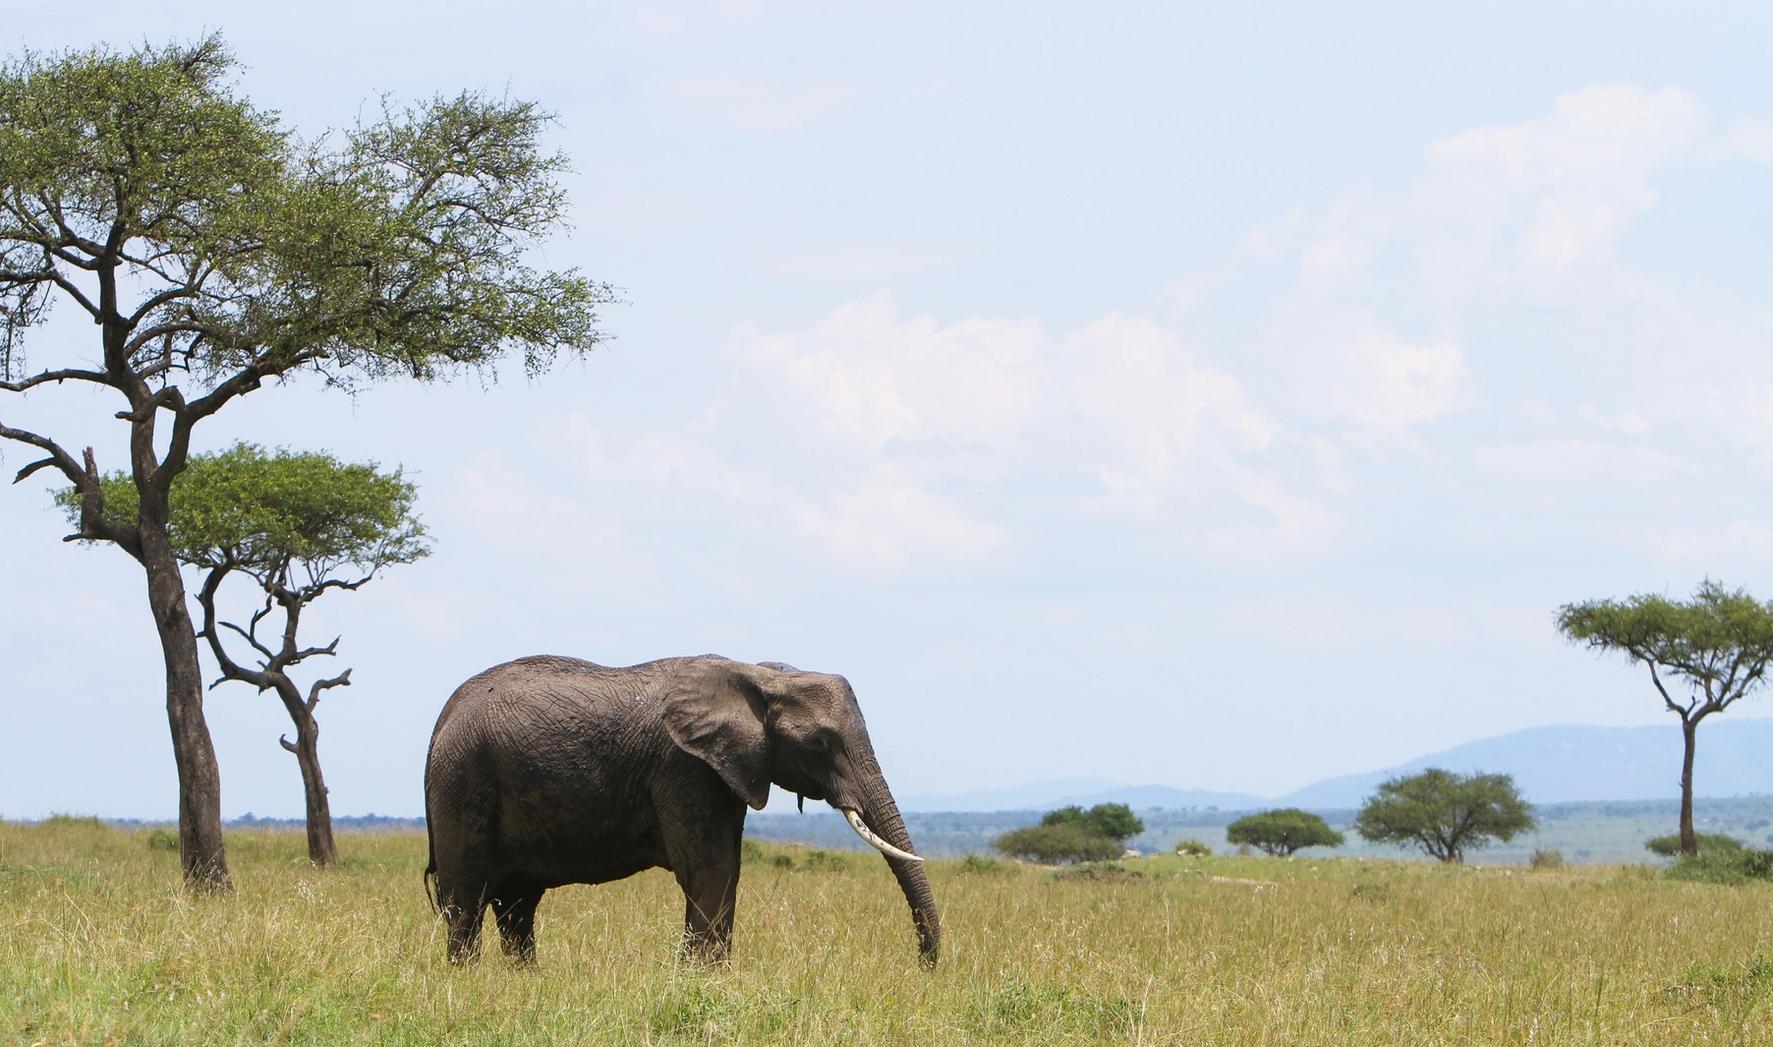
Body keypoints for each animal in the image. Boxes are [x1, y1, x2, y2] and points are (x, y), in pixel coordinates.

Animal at [422, 654, 940, 967]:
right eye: (820, 743)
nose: (925, 968)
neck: (758, 675)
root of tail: (442, 718)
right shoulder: (684, 767)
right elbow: (709, 869)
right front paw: (702, 979)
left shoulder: (726, 770)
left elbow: (726, 871)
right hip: (461, 783)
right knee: (465, 900)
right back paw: (468, 983)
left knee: (517, 907)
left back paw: (526, 981)